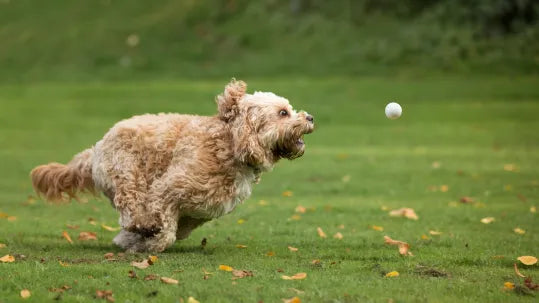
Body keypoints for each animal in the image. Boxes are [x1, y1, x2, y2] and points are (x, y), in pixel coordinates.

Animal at [30, 79, 316, 253]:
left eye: (290, 109)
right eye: (283, 112)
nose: (310, 117)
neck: (229, 145)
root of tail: (96, 148)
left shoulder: (198, 212)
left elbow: (177, 230)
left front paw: (137, 243)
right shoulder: (167, 189)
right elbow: (166, 230)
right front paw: (148, 244)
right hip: (127, 174)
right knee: (130, 207)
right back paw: (140, 226)